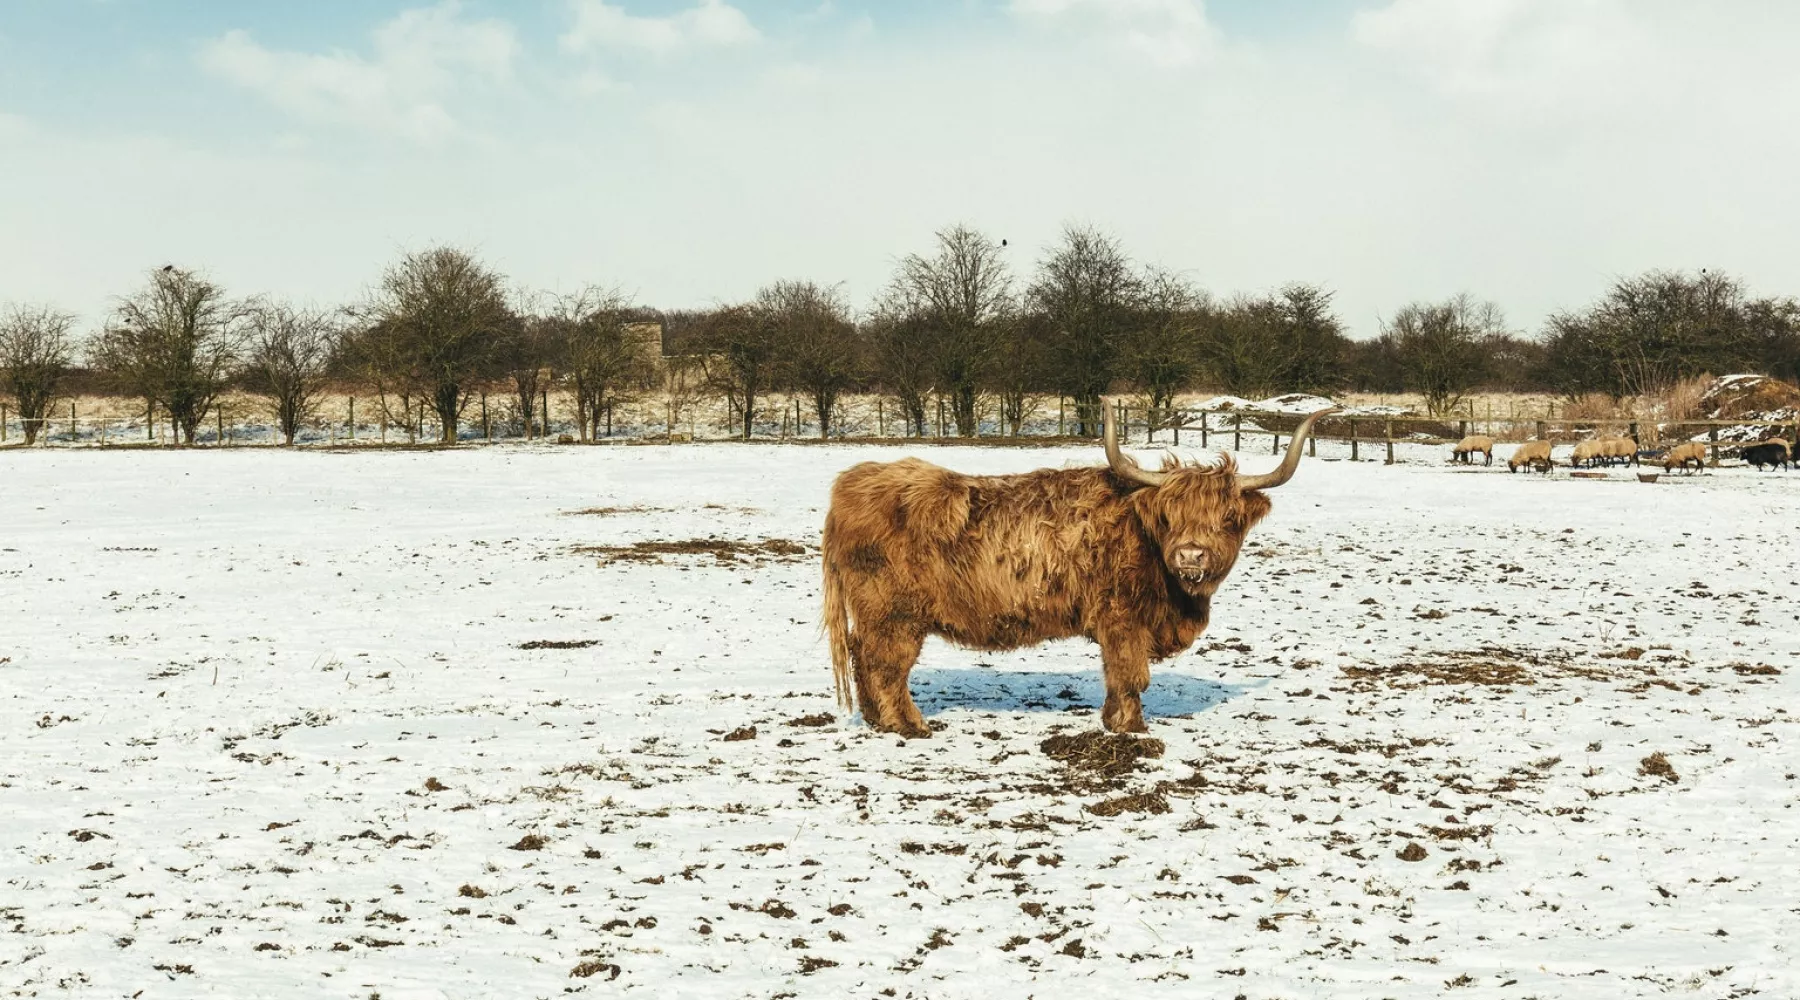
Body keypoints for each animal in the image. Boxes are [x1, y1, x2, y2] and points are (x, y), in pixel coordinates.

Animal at [817, 402, 1339, 737]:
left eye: (1229, 518)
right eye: (1169, 515)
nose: (1191, 555)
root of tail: (851, 483)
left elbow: (1114, 675)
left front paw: (1112, 720)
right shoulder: (1123, 619)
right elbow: (1131, 674)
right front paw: (1132, 728)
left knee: (863, 657)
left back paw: (876, 720)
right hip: (895, 614)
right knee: (886, 664)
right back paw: (909, 725)